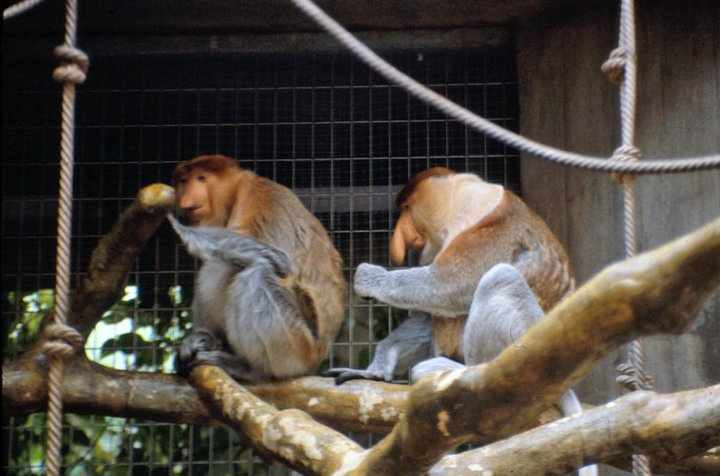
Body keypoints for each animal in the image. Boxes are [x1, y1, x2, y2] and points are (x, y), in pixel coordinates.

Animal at [169, 154, 346, 381]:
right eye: (183, 181)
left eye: (201, 178)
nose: (187, 202)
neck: (234, 195)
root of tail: (317, 357)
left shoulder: (261, 195)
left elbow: (279, 258)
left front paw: (175, 225)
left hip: (297, 346)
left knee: (254, 273)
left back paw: (250, 369)